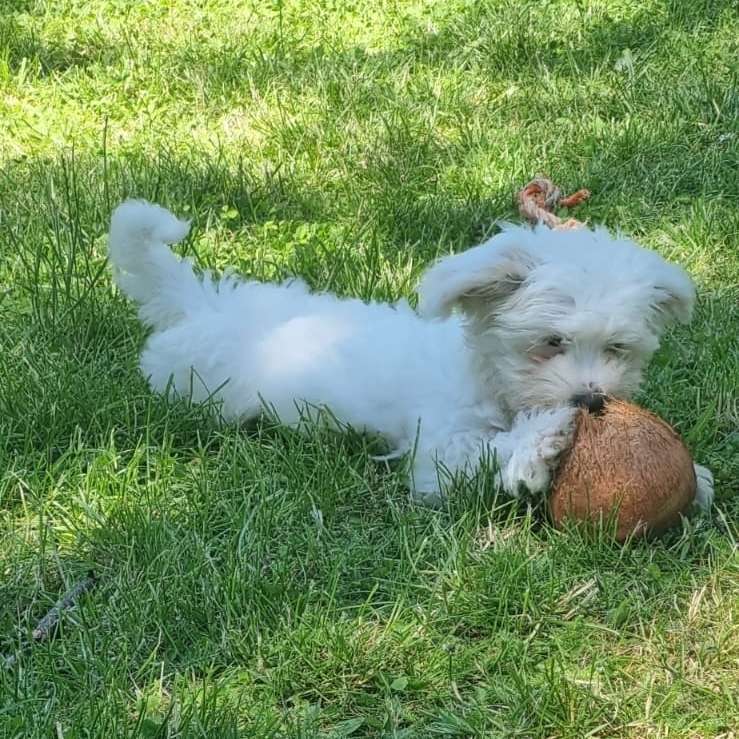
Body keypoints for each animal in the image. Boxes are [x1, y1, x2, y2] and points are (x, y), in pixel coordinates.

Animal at [107, 201, 712, 508]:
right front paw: (537, 443)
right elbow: (486, 451)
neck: (489, 380)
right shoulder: (440, 453)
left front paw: (698, 480)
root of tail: (202, 304)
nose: (590, 399)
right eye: (551, 343)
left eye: (617, 349)